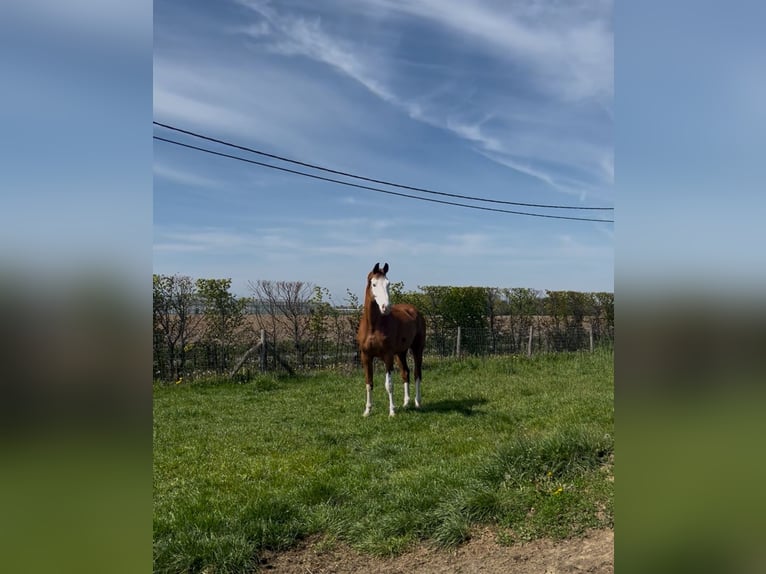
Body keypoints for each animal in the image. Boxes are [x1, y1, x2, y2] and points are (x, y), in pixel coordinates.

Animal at [357, 262, 426, 417]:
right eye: (374, 284)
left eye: (388, 283)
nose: (386, 307)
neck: (373, 326)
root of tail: (414, 310)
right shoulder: (366, 356)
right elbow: (368, 383)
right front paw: (367, 411)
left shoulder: (387, 356)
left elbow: (389, 385)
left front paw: (392, 411)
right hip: (400, 353)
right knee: (405, 373)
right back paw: (406, 403)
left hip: (417, 349)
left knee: (417, 374)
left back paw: (418, 403)